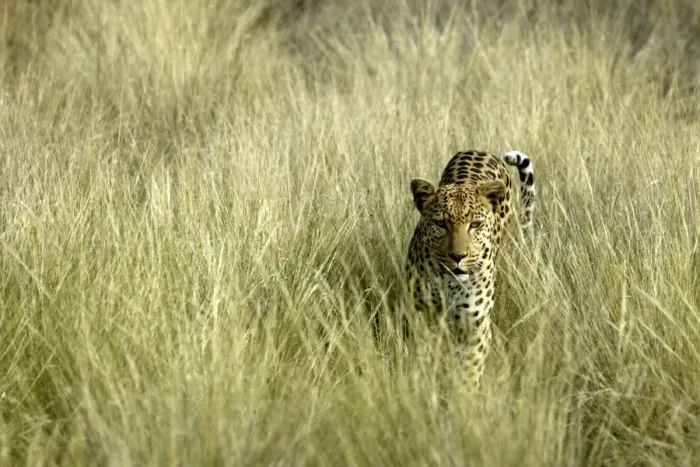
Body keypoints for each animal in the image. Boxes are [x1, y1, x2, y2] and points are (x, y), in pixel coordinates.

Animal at [405, 149, 535, 391]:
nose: (458, 257)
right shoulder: (422, 317)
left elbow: (469, 371)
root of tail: (480, 151)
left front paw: (463, 395)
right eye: (440, 224)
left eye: (475, 225)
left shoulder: (475, 327)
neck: (450, 282)